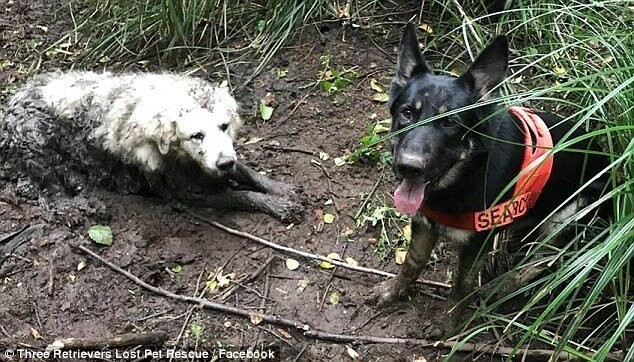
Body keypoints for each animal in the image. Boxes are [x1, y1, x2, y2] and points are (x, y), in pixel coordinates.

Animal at [0, 71, 302, 221]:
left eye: (224, 126)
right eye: (196, 135)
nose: (224, 162)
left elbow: (247, 172)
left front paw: (280, 189)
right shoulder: (183, 193)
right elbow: (239, 196)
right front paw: (276, 204)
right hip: (35, 140)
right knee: (47, 189)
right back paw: (72, 207)